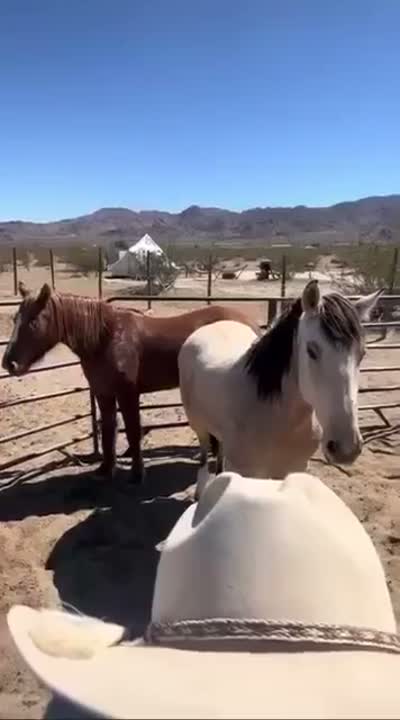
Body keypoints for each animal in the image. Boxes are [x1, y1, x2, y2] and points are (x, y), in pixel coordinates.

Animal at [2, 282, 261, 484]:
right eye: (15, 319)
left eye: (33, 322)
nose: (9, 364)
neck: (106, 338)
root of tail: (250, 323)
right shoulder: (103, 393)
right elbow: (109, 430)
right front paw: (105, 469)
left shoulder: (128, 394)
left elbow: (133, 431)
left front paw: (137, 474)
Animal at [178, 279, 383, 499]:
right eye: (311, 351)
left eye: (362, 353)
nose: (346, 449)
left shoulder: (292, 468)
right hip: (198, 425)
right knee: (204, 453)